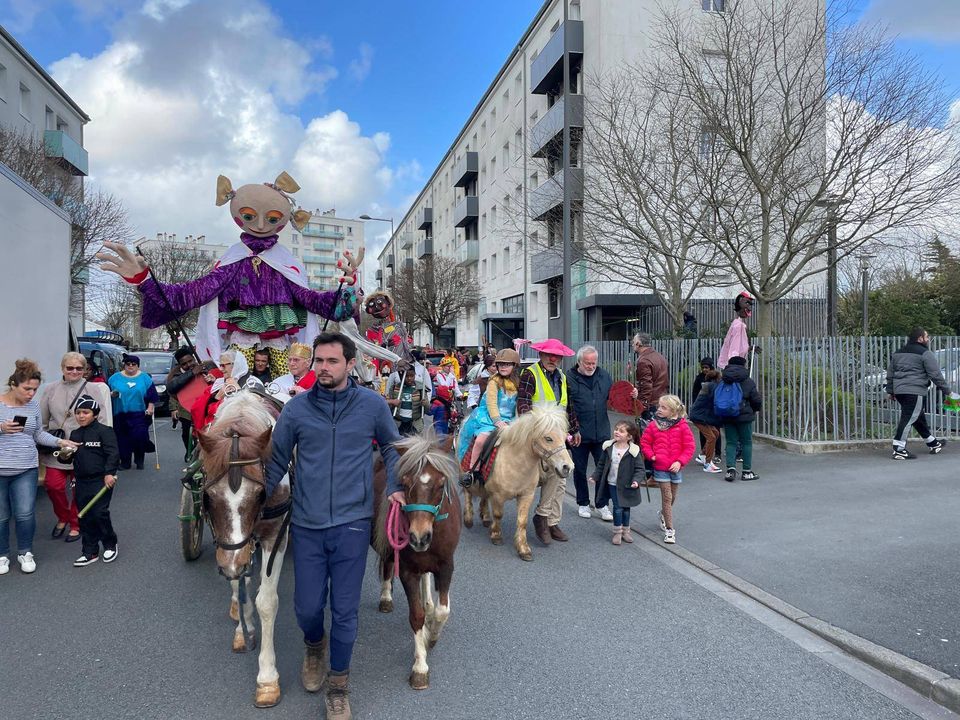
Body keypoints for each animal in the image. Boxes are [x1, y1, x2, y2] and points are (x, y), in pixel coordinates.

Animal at [196, 389, 291, 708]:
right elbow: (239, 585)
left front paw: (267, 678)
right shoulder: (230, 547)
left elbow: (267, 602)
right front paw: (243, 628)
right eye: (207, 497)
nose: (232, 564)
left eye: (261, 493)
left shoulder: (275, 535)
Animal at [372, 429, 462, 690]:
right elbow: (416, 616)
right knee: (388, 564)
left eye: (441, 484)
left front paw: (432, 636)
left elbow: (442, 611)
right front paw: (420, 667)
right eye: (405, 482)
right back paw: (386, 596)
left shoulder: (446, 566)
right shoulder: (407, 570)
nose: (419, 537)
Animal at [460, 405, 573, 561]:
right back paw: (468, 519)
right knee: (468, 493)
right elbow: (498, 514)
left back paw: (486, 517)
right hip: (464, 471)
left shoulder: (526, 495)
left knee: (484, 496)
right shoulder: (498, 495)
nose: (568, 467)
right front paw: (496, 536)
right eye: (548, 438)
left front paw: (523, 549)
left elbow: (522, 521)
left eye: (564, 437)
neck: (516, 462)